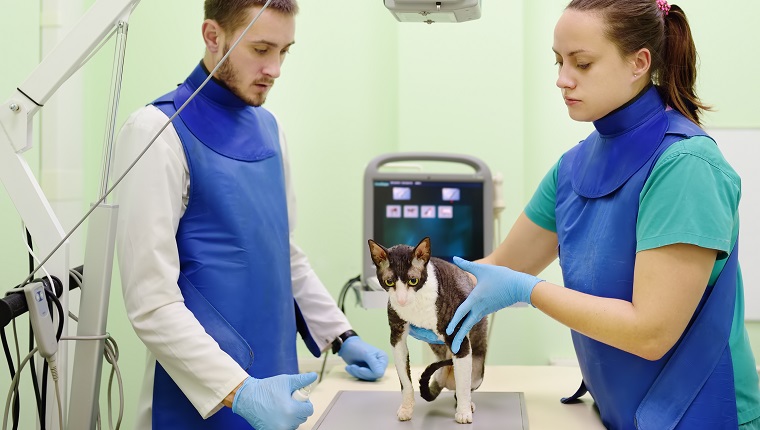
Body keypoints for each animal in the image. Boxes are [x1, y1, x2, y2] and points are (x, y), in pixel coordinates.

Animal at [366, 237, 486, 424]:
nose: (401, 300)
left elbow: (463, 386)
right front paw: (406, 408)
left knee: (462, 386)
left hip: (477, 368)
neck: (416, 306)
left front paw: (464, 413)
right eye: (389, 282)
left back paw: (468, 405)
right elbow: (405, 381)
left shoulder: (458, 337)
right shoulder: (397, 336)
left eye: (413, 281)